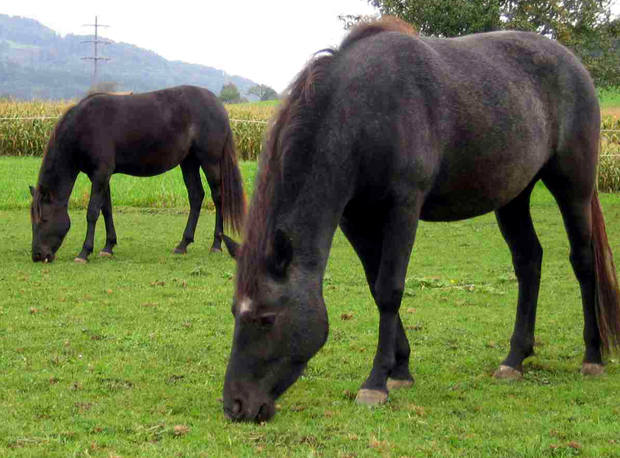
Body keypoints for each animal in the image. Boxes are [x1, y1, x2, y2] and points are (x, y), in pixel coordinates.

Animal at [29, 84, 246, 262]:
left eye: (43, 219)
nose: (37, 255)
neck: (83, 126)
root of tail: (218, 104)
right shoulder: (101, 177)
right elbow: (106, 209)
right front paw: (108, 247)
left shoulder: (100, 175)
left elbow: (92, 212)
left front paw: (84, 252)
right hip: (189, 162)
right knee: (196, 196)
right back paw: (182, 244)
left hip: (210, 162)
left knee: (218, 197)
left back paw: (216, 245)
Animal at [222, 18, 620, 422]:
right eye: (234, 313)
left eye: (266, 318)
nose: (235, 405)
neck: (361, 112)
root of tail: (574, 65)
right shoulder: (354, 219)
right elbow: (375, 286)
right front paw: (400, 370)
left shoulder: (403, 206)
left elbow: (389, 289)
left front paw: (376, 382)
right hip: (513, 196)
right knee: (528, 262)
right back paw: (514, 360)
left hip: (573, 187)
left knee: (583, 262)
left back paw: (592, 357)